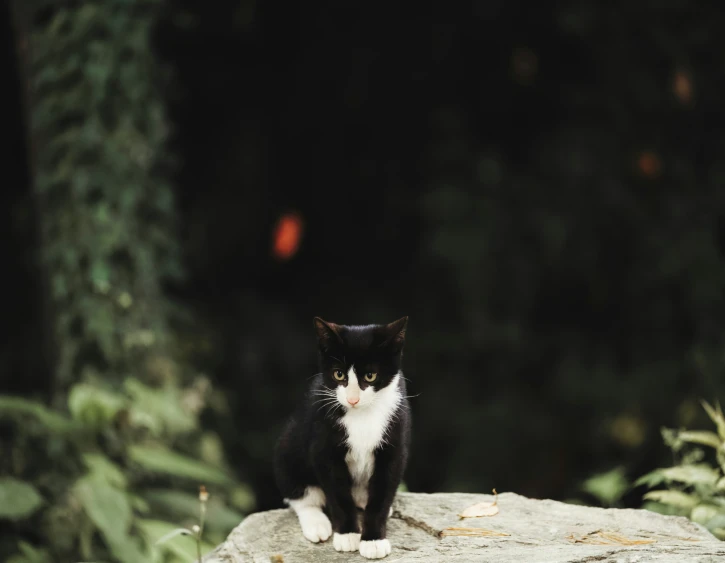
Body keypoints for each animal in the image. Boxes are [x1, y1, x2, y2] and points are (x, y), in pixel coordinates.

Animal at [272, 318, 410, 560]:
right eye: (339, 375)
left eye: (370, 376)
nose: (352, 399)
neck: (362, 415)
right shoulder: (323, 447)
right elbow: (337, 493)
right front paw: (347, 535)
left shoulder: (394, 446)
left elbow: (383, 492)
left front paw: (373, 539)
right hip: (289, 444)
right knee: (298, 493)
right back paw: (316, 523)